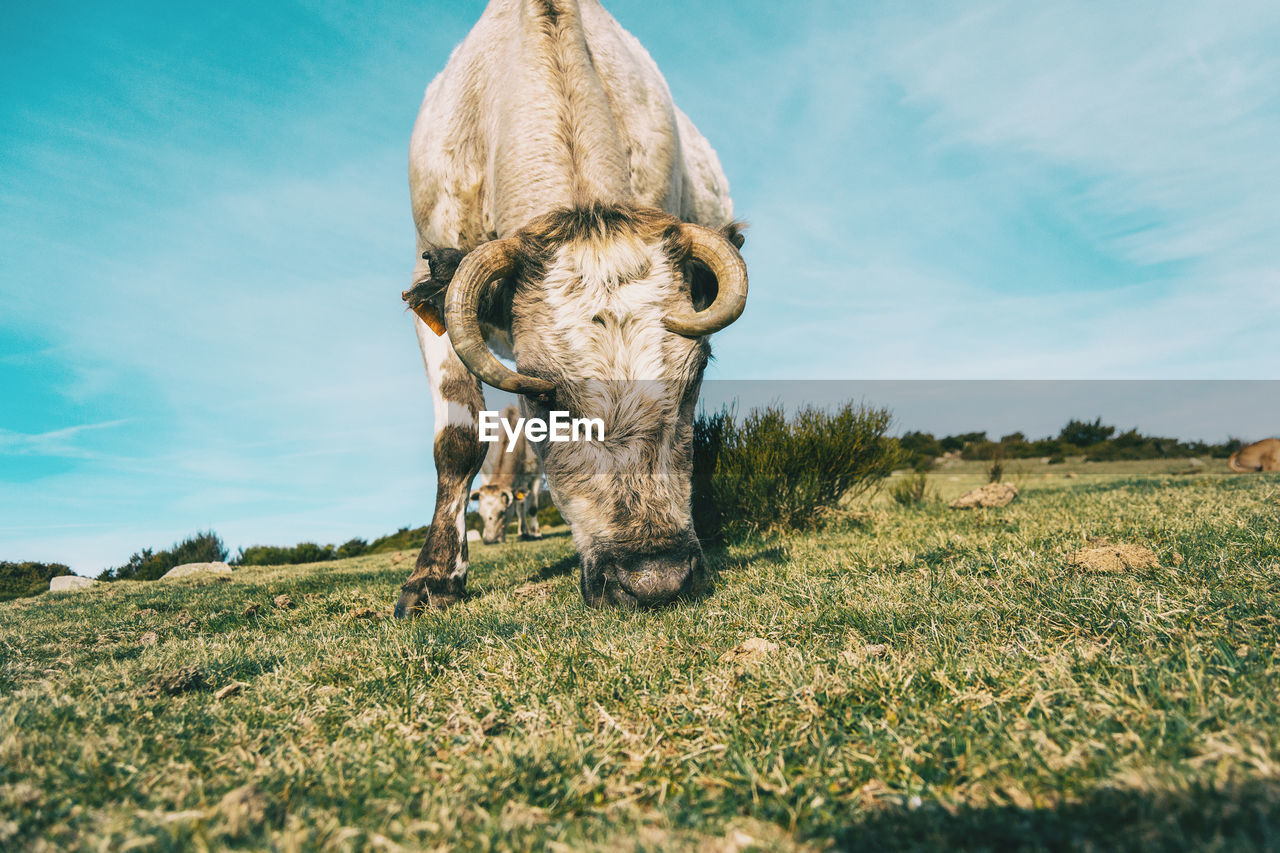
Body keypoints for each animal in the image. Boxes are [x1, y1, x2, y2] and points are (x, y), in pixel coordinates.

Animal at [476, 402, 545, 540]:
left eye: (502, 512)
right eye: (480, 514)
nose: (488, 541)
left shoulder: (537, 473)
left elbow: (531, 507)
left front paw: (535, 532)